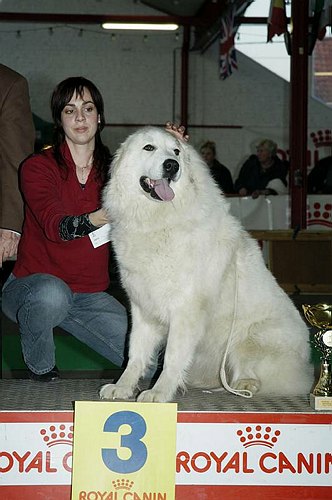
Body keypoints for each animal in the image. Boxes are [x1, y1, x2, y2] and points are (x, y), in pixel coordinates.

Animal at [100, 127, 312, 404]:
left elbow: (172, 357)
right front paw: (123, 387)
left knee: (253, 370)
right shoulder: (142, 308)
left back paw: (243, 385)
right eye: (149, 148)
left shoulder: (186, 309)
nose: (172, 165)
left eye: (176, 151)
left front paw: (159, 392)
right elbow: (135, 353)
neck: (159, 220)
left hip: (247, 338)